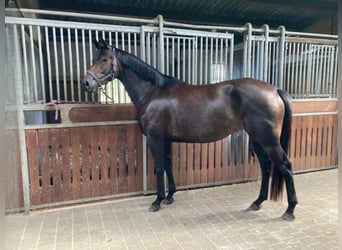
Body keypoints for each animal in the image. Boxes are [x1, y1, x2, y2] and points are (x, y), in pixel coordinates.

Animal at [82, 39, 296, 221]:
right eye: (94, 59)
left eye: (104, 60)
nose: (86, 83)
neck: (153, 92)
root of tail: (275, 90)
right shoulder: (166, 140)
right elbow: (168, 165)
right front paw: (170, 196)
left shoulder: (154, 138)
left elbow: (159, 168)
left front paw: (157, 201)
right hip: (257, 139)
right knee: (266, 166)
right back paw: (257, 202)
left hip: (268, 140)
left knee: (285, 166)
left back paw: (290, 210)